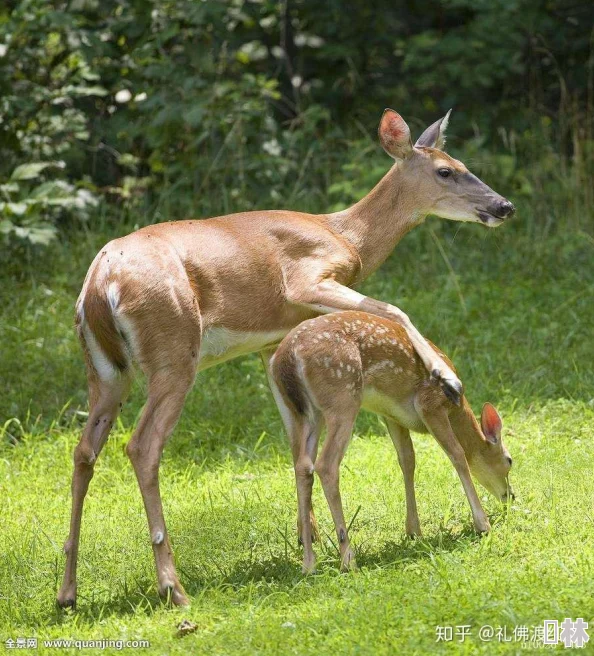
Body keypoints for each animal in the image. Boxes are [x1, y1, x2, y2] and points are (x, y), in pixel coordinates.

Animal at [57, 109, 516, 608]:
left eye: (463, 163)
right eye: (446, 171)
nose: (504, 206)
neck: (346, 237)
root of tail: (99, 284)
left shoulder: (271, 343)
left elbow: (297, 442)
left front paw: (308, 540)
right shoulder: (306, 280)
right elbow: (396, 309)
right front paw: (444, 374)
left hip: (106, 370)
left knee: (84, 451)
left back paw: (68, 590)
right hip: (173, 349)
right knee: (142, 446)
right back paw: (172, 586)